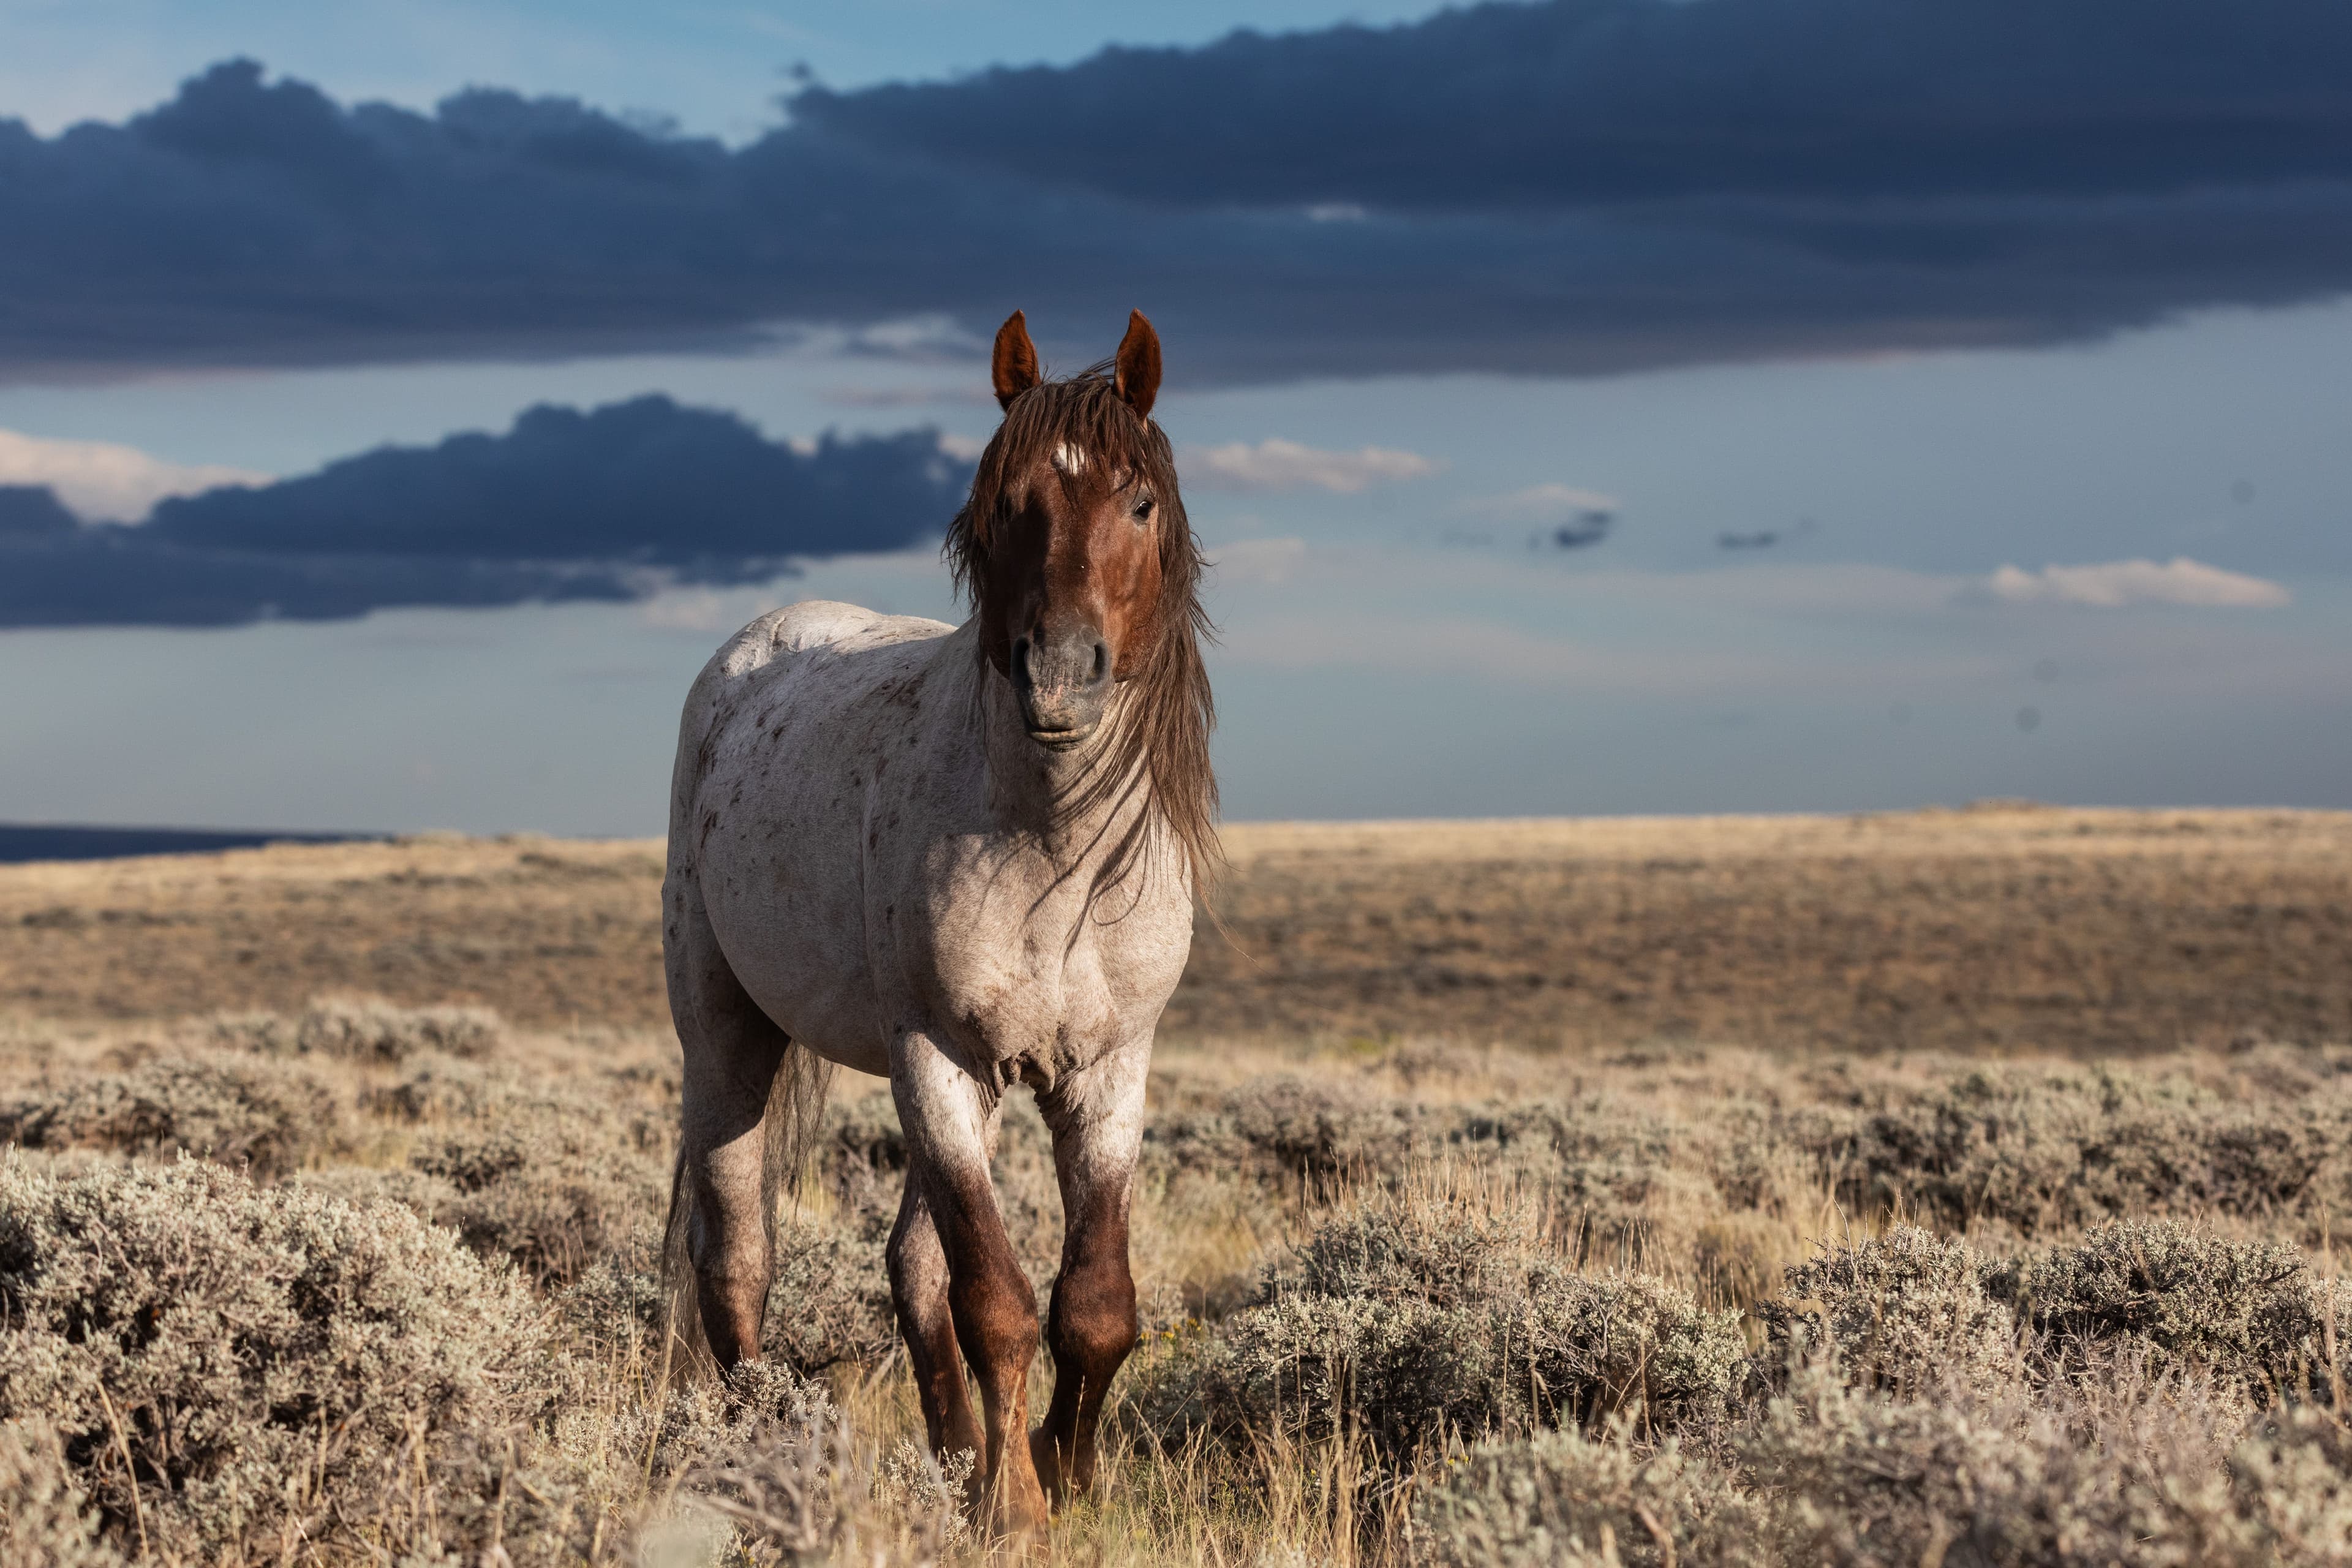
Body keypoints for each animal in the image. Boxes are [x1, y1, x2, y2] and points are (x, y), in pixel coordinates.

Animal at [659, 308, 1216, 1536]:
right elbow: (995, 1301)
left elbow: (1093, 1303)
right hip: (729, 1040)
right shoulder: (935, 1057)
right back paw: (755, 1451)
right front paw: (1017, 1508)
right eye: (1008, 502)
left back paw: (955, 1457)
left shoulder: (1109, 1070)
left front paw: (1062, 1473)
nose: (1060, 678)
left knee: (910, 1268)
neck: (1052, 855)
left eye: (1138, 504)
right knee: (738, 1259)